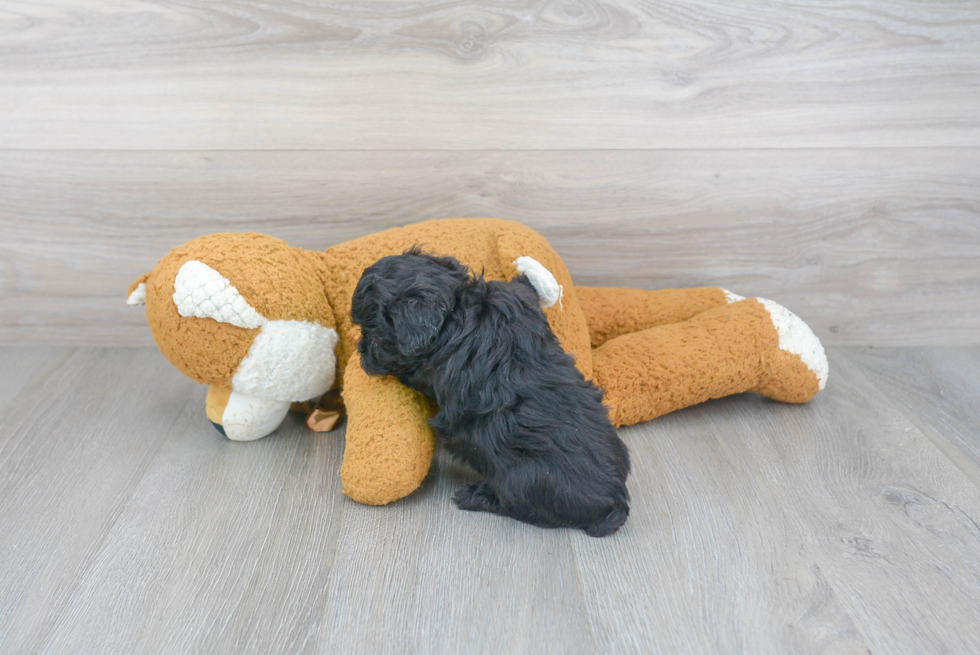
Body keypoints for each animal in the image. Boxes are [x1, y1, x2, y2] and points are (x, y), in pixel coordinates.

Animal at [350, 249, 628, 536]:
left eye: (373, 335)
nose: (360, 350)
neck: (457, 306)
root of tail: (615, 503)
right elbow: (523, 292)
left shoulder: (426, 371)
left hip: (522, 481)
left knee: (519, 506)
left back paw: (477, 496)